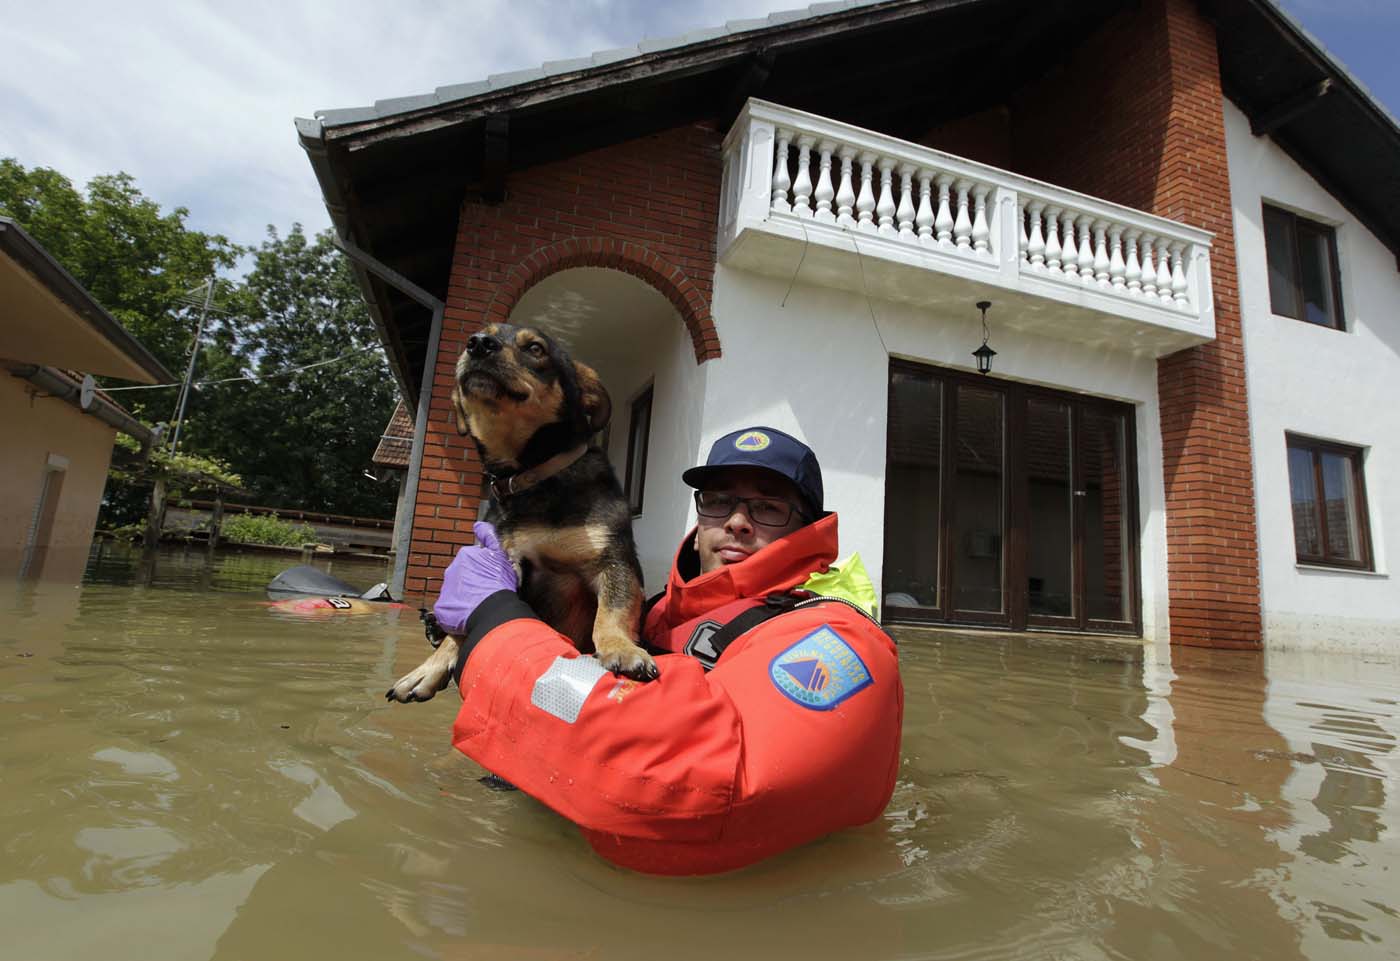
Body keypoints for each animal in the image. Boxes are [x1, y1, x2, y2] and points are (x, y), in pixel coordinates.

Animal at [386, 325, 652, 708]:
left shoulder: (615, 561)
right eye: (476, 338)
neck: (531, 476)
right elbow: (470, 621)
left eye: (536, 348)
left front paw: (622, 647)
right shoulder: (508, 561)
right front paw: (429, 667)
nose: (478, 344)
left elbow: (612, 612)